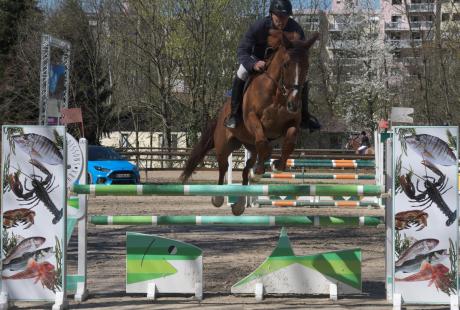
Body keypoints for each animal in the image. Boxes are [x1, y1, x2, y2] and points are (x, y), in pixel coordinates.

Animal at [181, 30, 320, 217]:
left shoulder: (291, 124)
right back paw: (218, 197)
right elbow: (262, 142)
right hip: (225, 144)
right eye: (286, 64)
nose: (293, 104)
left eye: (307, 66)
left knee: (246, 168)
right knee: (224, 166)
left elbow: (289, 142)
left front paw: (277, 166)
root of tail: (221, 112)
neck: (278, 94)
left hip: (248, 146)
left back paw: (240, 203)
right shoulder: (252, 119)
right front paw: (261, 170)